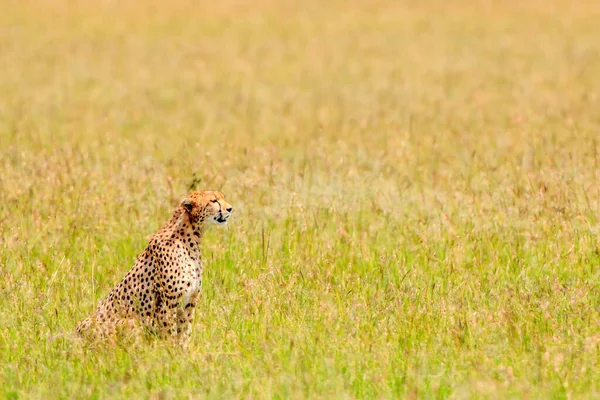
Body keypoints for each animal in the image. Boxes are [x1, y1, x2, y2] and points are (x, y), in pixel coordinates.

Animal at [77, 191, 232, 344]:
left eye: (223, 198)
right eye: (214, 201)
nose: (230, 208)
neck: (191, 239)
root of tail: (77, 332)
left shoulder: (189, 301)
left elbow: (184, 332)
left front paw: (184, 350)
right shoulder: (167, 303)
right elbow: (170, 333)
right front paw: (169, 350)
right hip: (128, 322)